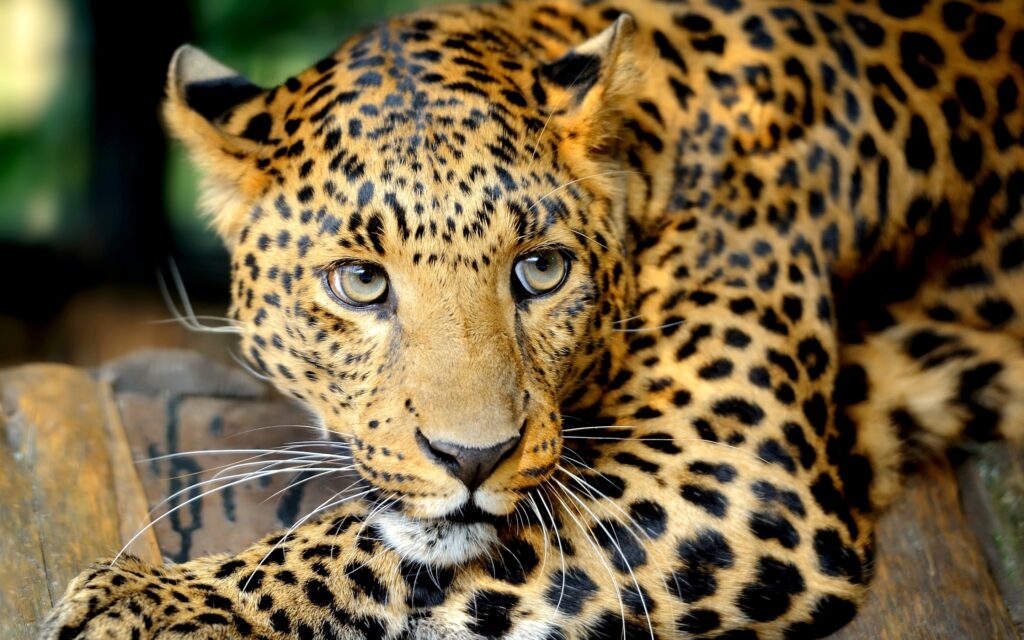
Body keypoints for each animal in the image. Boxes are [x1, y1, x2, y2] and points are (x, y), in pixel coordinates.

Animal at [43, 0, 1024, 638]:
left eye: (540, 270)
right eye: (360, 282)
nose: (473, 458)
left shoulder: (737, 472)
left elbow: (379, 543)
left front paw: (169, 602)